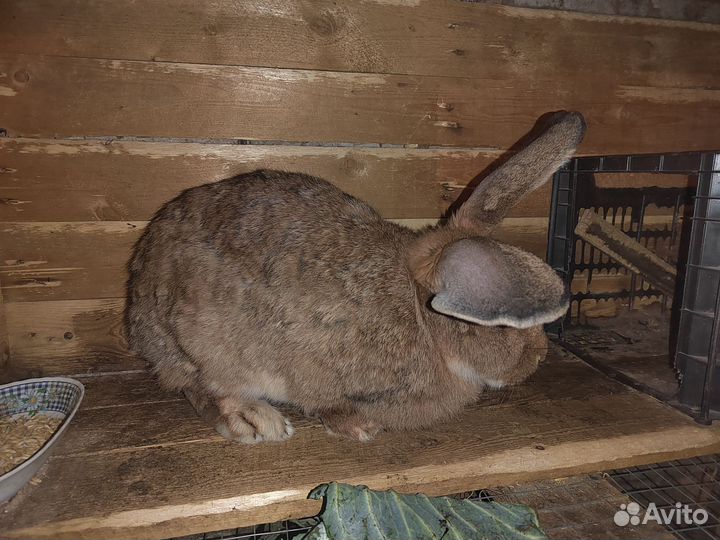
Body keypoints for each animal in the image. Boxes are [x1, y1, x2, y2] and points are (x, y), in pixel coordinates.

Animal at [125, 112, 586, 443]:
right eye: (501, 325)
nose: (538, 358)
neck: (421, 320)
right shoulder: (311, 365)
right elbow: (324, 402)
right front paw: (360, 428)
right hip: (200, 342)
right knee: (198, 386)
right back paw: (254, 421)